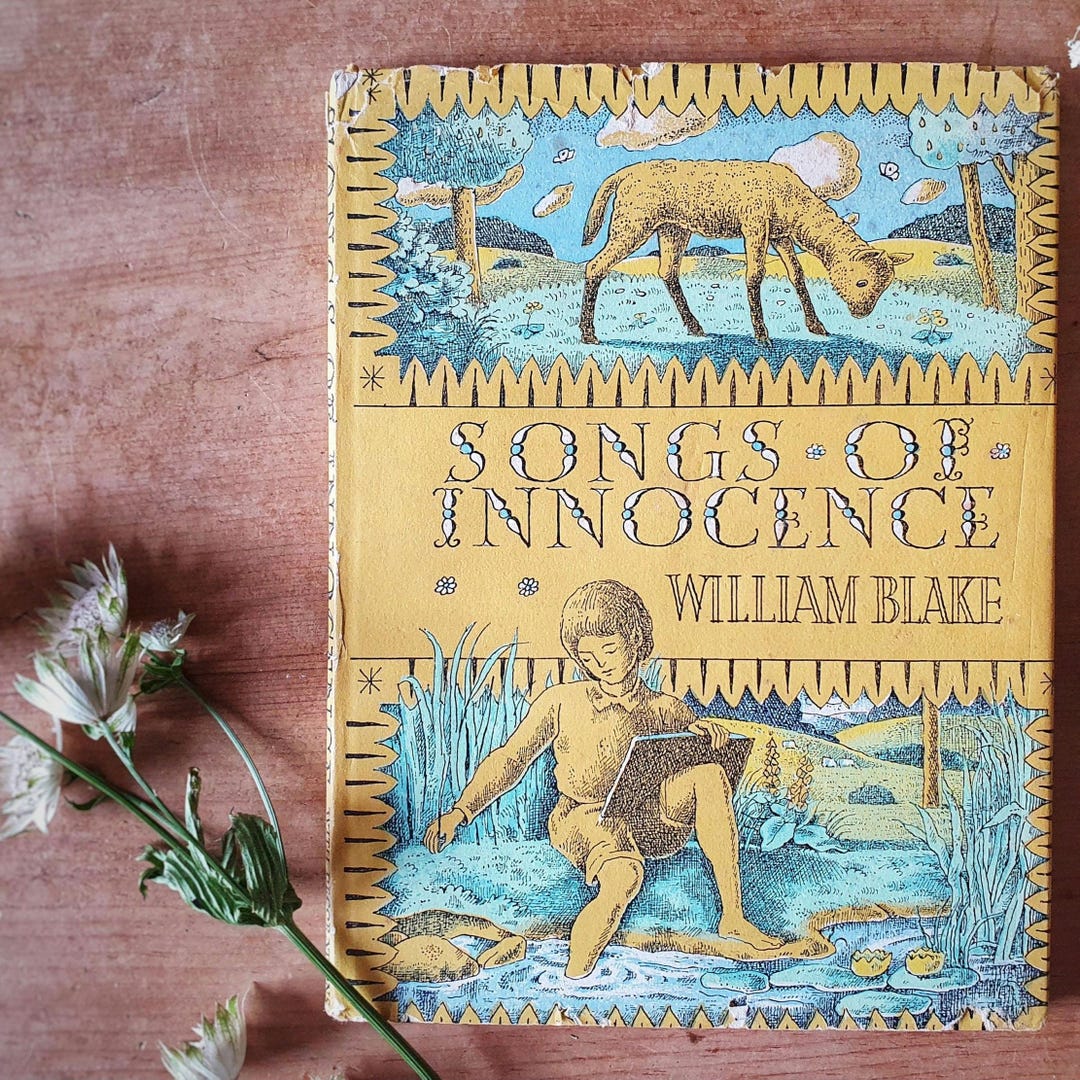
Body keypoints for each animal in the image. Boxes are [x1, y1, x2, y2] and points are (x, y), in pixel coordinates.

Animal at [579, 159, 912, 346]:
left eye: (884, 287)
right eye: (861, 282)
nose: (861, 312)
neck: (794, 202)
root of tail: (623, 174)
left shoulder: (780, 234)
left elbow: (797, 275)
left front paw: (816, 326)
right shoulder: (755, 226)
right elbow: (755, 276)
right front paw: (762, 336)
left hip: (673, 228)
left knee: (668, 272)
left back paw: (695, 327)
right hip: (633, 221)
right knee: (596, 266)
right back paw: (588, 334)